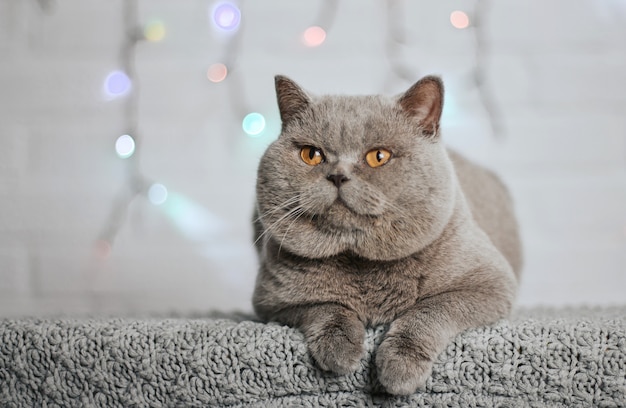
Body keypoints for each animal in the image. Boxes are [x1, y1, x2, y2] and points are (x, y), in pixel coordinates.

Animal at [251, 74, 520, 396]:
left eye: (378, 157)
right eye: (311, 155)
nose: (338, 175)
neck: (361, 264)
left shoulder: (490, 285)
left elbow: (430, 308)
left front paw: (399, 367)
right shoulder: (272, 302)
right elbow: (324, 306)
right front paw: (340, 350)